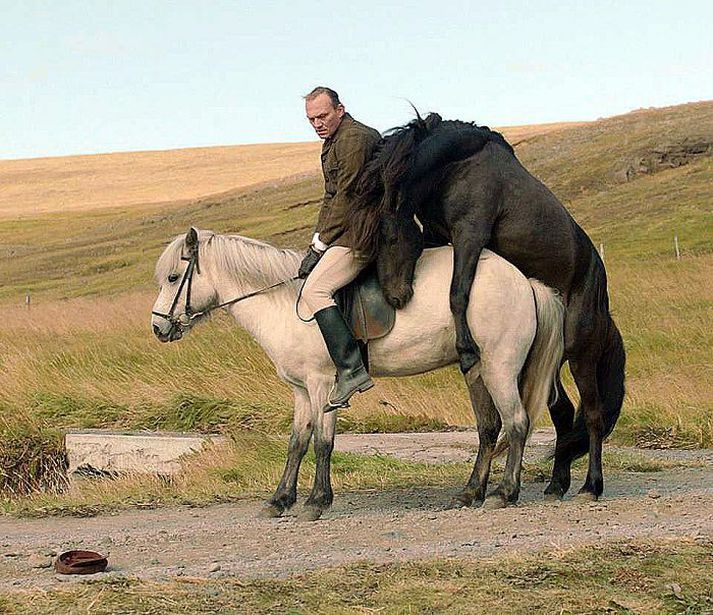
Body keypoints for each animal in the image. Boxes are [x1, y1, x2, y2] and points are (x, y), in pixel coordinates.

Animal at [150, 230, 560, 520]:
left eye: (172, 277)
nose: (158, 328)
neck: (285, 302)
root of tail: (524, 282)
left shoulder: (323, 385)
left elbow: (322, 442)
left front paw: (317, 502)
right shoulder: (302, 391)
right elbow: (297, 442)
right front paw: (280, 500)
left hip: (500, 368)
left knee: (517, 423)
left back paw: (504, 493)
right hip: (476, 370)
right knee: (489, 429)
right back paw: (469, 493)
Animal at [350, 113, 624, 502]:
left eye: (387, 236)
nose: (395, 297)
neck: (458, 164)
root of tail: (602, 297)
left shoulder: (470, 234)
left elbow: (457, 291)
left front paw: (465, 348)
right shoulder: (439, 235)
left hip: (581, 353)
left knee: (593, 415)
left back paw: (591, 486)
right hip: (551, 362)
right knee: (563, 412)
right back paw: (556, 484)